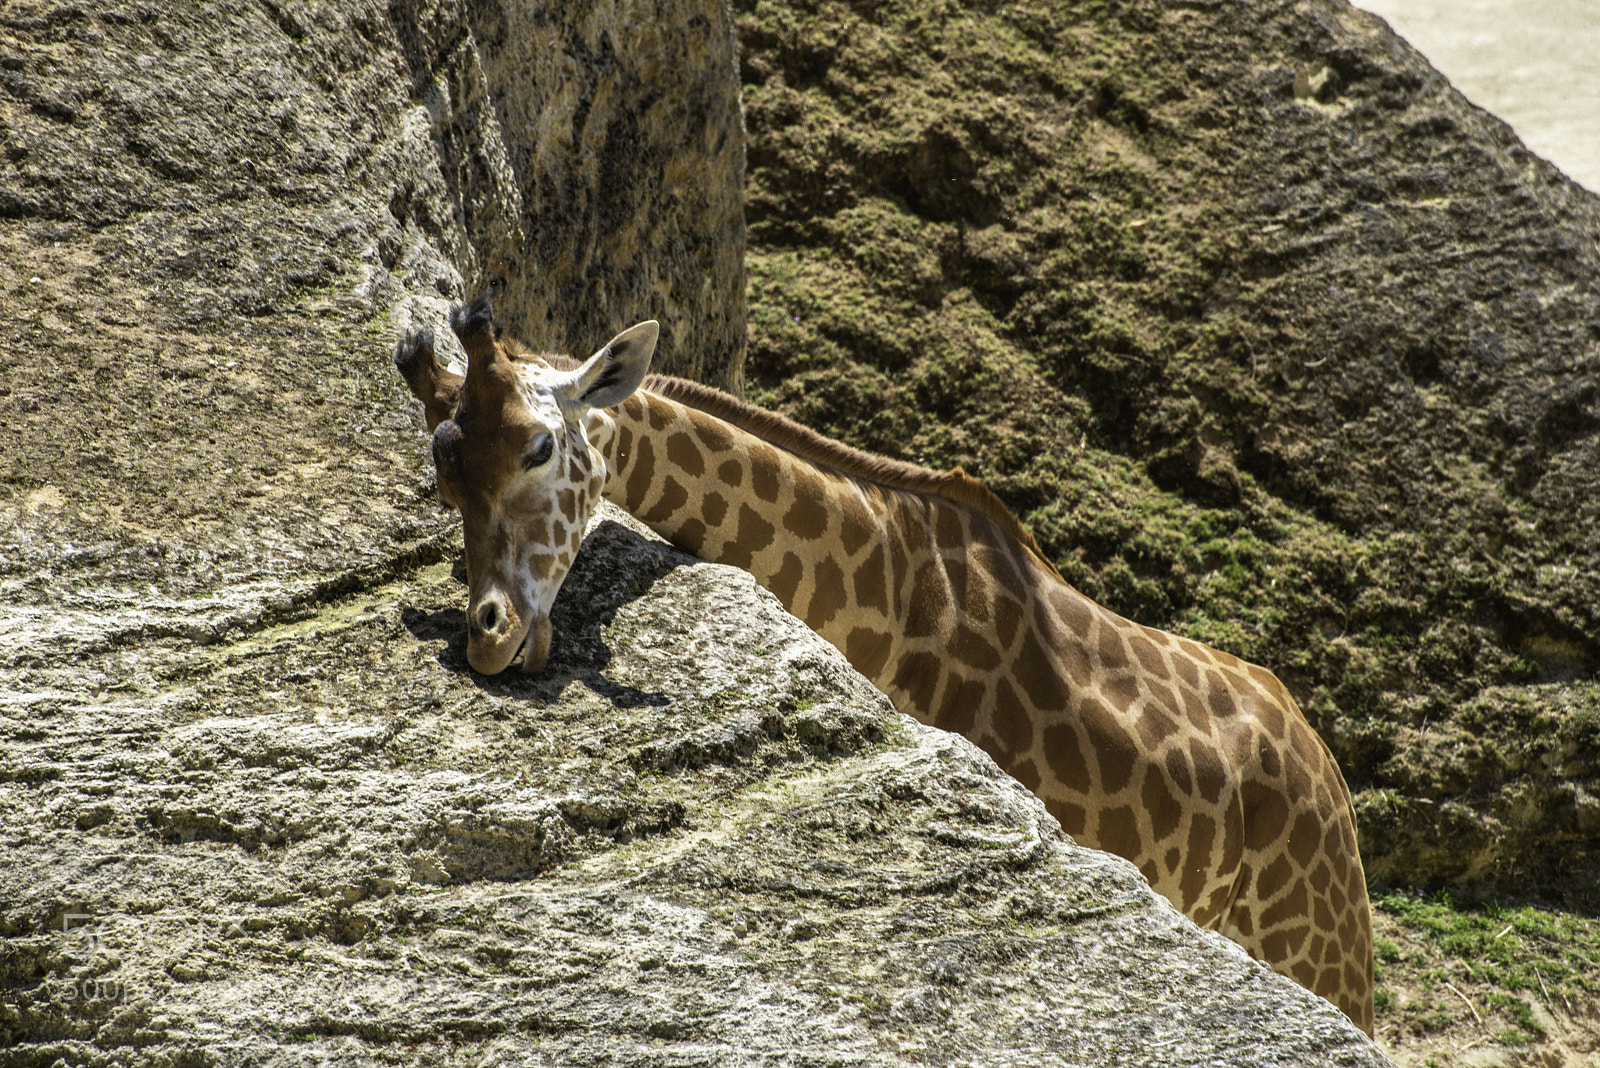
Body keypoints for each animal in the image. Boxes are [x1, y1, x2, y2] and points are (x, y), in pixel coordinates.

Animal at [394, 294, 1376, 1035]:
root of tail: (1327, 772)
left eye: (540, 447)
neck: (888, 591)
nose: (489, 636)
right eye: (444, 478)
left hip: (1315, 949)